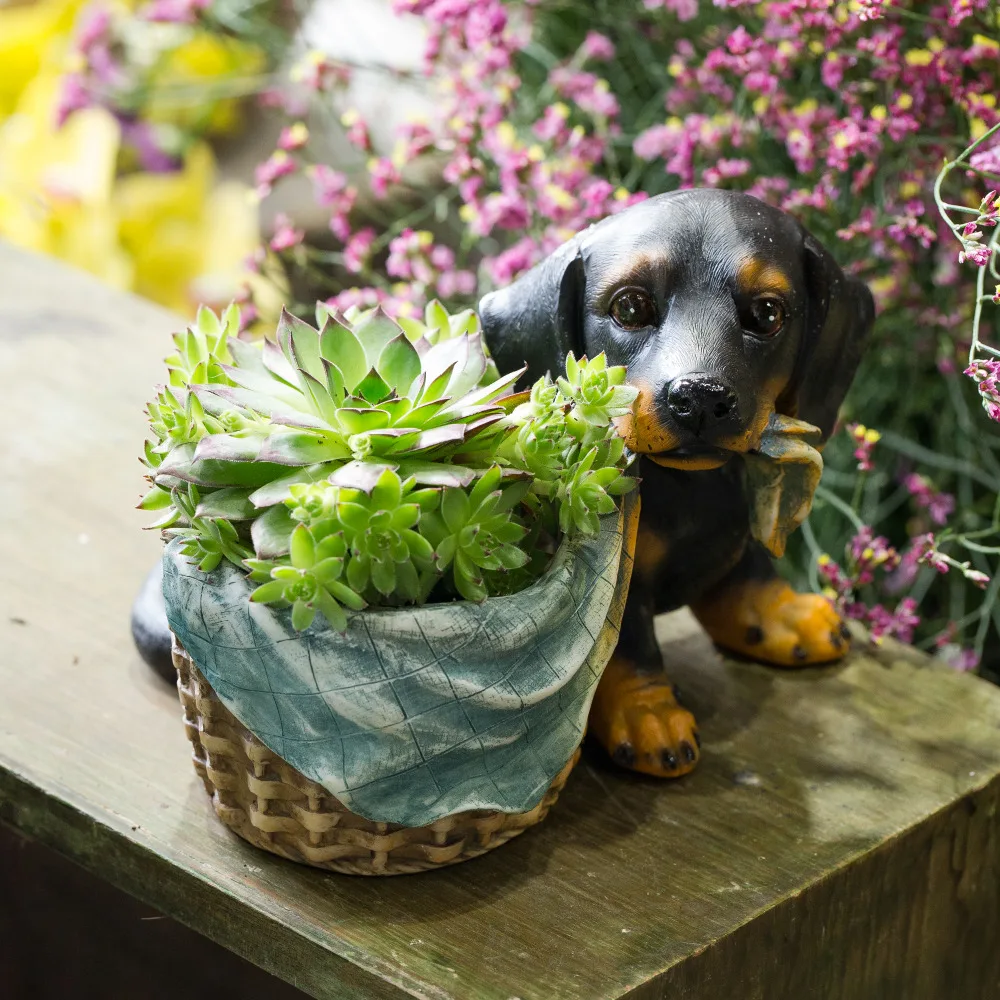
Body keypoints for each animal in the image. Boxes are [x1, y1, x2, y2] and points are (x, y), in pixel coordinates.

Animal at [480, 189, 872, 780]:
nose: (701, 398)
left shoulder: (738, 533)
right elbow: (629, 646)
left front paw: (781, 614)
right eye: (629, 307)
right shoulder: (614, 581)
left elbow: (749, 572)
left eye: (768, 313)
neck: (691, 492)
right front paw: (647, 712)